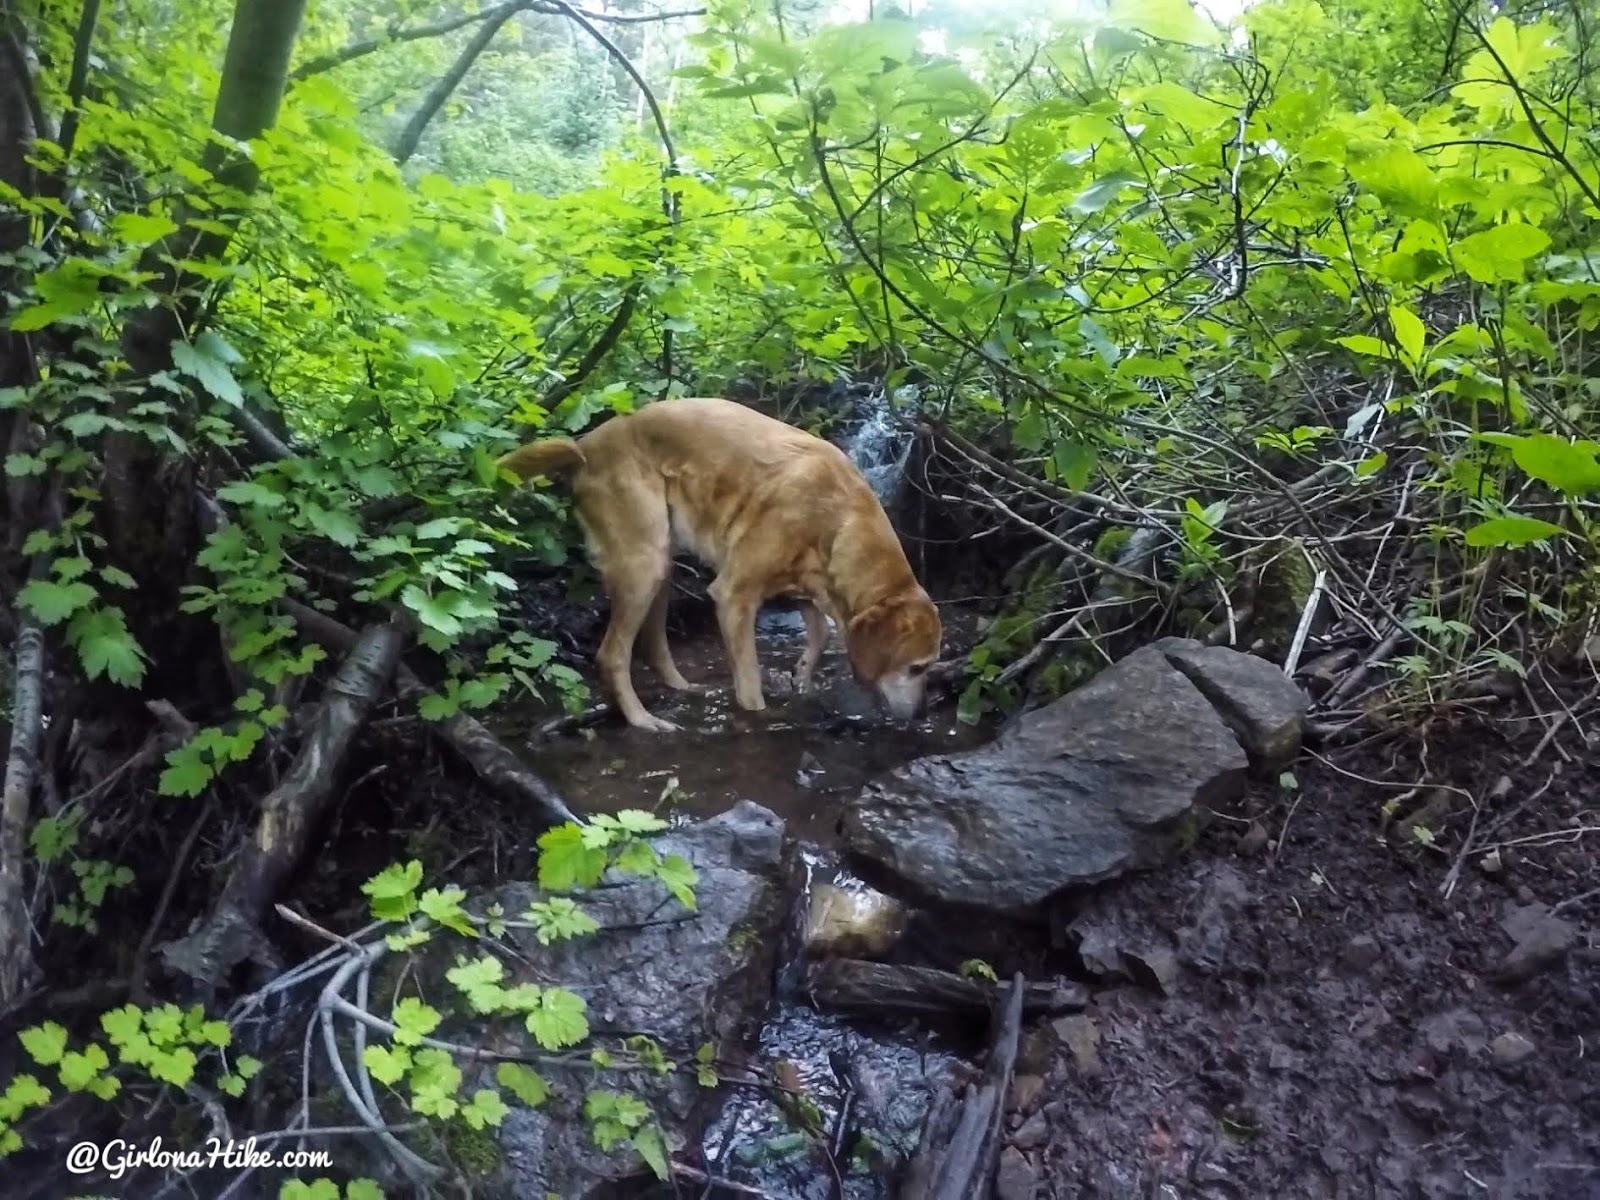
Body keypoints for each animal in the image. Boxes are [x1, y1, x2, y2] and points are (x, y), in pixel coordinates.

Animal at [499, 400, 940, 732]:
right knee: (612, 655)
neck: (838, 519)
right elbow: (751, 685)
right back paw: (643, 720)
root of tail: (584, 448)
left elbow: (822, 632)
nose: (923, 715)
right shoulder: (734, 597)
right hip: (643, 560)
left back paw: (684, 689)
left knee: (653, 642)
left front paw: (801, 675)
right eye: (916, 667)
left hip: (661, 563)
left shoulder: (807, 587)